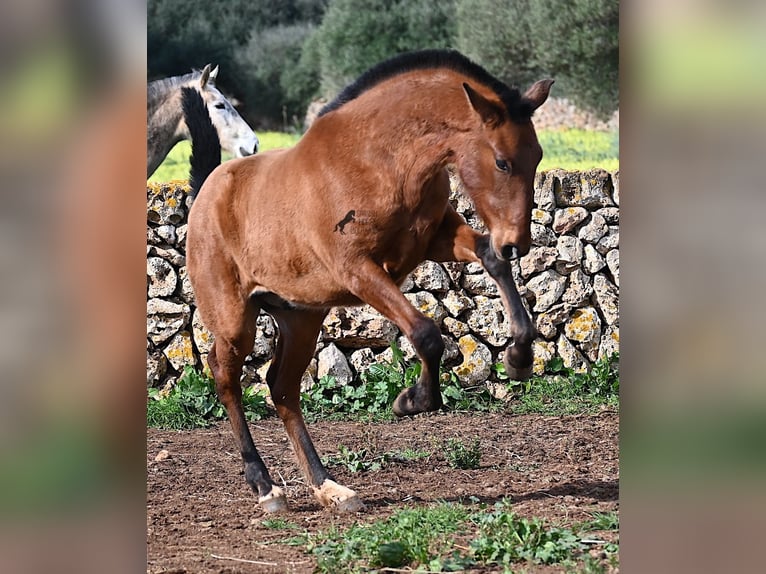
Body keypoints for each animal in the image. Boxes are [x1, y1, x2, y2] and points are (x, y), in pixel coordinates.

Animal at [189, 49, 556, 516]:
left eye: (538, 157)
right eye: (502, 161)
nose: (518, 243)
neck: (379, 160)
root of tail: (204, 194)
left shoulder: (434, 239)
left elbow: (490, 260)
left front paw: (519, 357)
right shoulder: (358, 269)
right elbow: (426, 333)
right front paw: (413, 400)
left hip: (300, 318)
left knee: (282, 388)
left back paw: (329, 487)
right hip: (235, 320)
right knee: (226, 378)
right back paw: (265, 486)